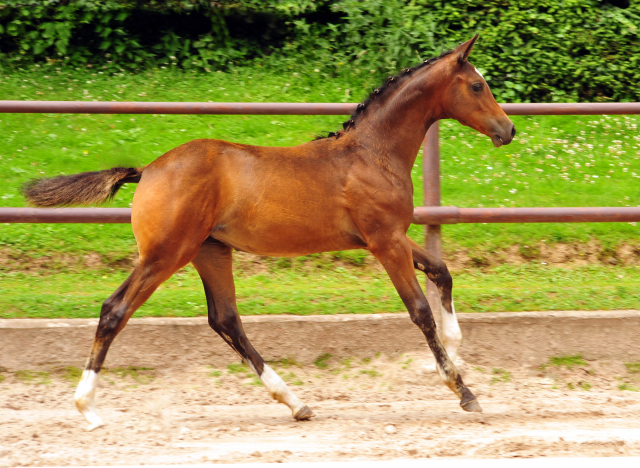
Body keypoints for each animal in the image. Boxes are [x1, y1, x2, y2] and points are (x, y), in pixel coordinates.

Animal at [23, 34, 516, 430]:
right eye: (477, 85)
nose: (508, 129)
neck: (372, 153)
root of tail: (148, 171)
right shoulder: (384, 242)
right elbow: (419, 310)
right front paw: (462, 389)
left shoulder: (391, 235)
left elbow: (441, 270)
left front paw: (458, 347)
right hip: (165, 255)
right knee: (115, 310)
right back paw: (87, 408)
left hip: (210, 252)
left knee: (225, 320)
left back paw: (295, 402)